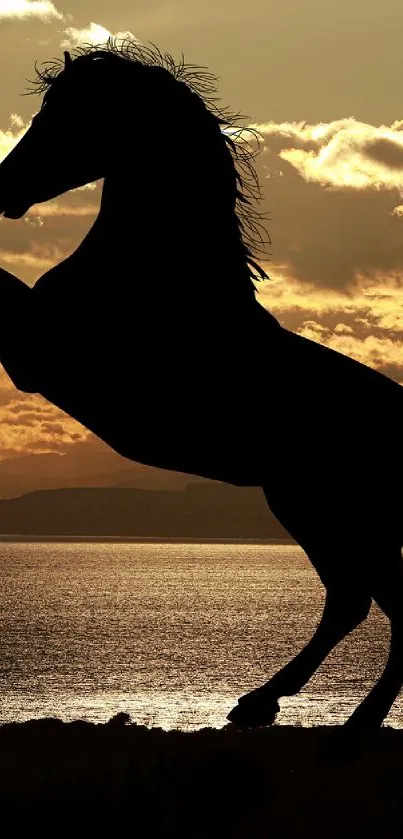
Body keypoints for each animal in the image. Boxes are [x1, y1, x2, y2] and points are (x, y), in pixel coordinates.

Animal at [0, 42, 403, 732]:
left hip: (334, 508)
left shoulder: (37, 353)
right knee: (352, 602)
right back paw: (261, 703)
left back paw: (351, 726)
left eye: (65, 116)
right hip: (309, 506)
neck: (161, 274)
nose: (4, 188)